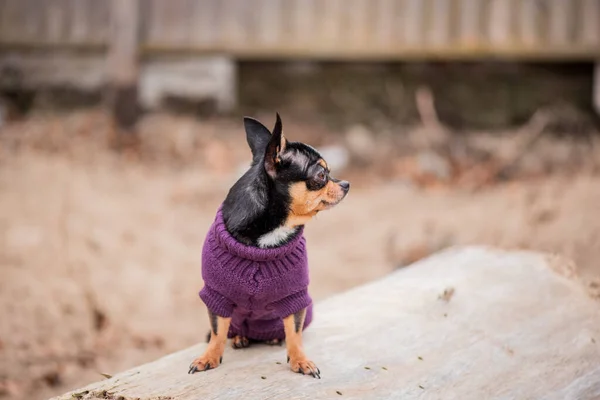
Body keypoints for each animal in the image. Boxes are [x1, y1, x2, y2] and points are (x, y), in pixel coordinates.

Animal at [186, 112, 346, 378]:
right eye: (321, 176)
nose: (346, 184)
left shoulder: (295, 297)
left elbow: (295, 332)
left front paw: (300, 360)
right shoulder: (217, 295)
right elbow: (218, 331)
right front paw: (209, 357)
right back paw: (239, 337)